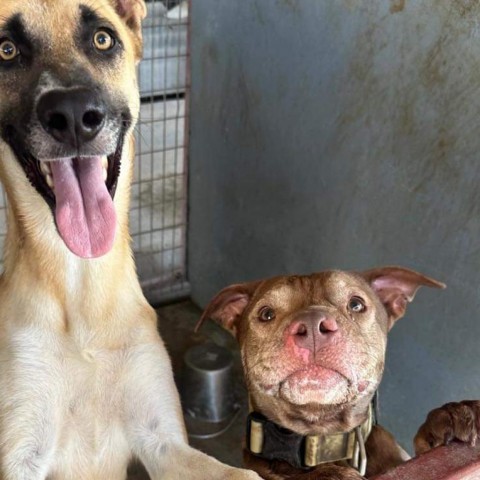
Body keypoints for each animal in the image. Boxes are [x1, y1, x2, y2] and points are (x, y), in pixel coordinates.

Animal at [0, 1, 260, 478]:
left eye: (103, 39)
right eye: (6, 49)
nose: (73, 116)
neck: (81, 288)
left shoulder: (164, 442)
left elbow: (242, 472)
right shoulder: (20, 456)